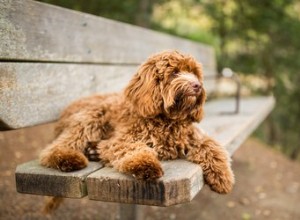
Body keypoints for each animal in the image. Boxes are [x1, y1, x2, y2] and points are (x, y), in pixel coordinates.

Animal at [39, 50, 234, 194]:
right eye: (174, 73)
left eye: (194, 73)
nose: (198, 86)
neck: (167, 119)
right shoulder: (123, 139)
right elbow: (135, 149)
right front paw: (146, 165)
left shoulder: (195, 137)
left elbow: (212, 148)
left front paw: (223, 176)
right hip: (91, 116)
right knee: (54, 148)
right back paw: (68, 158)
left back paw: (92, 151)